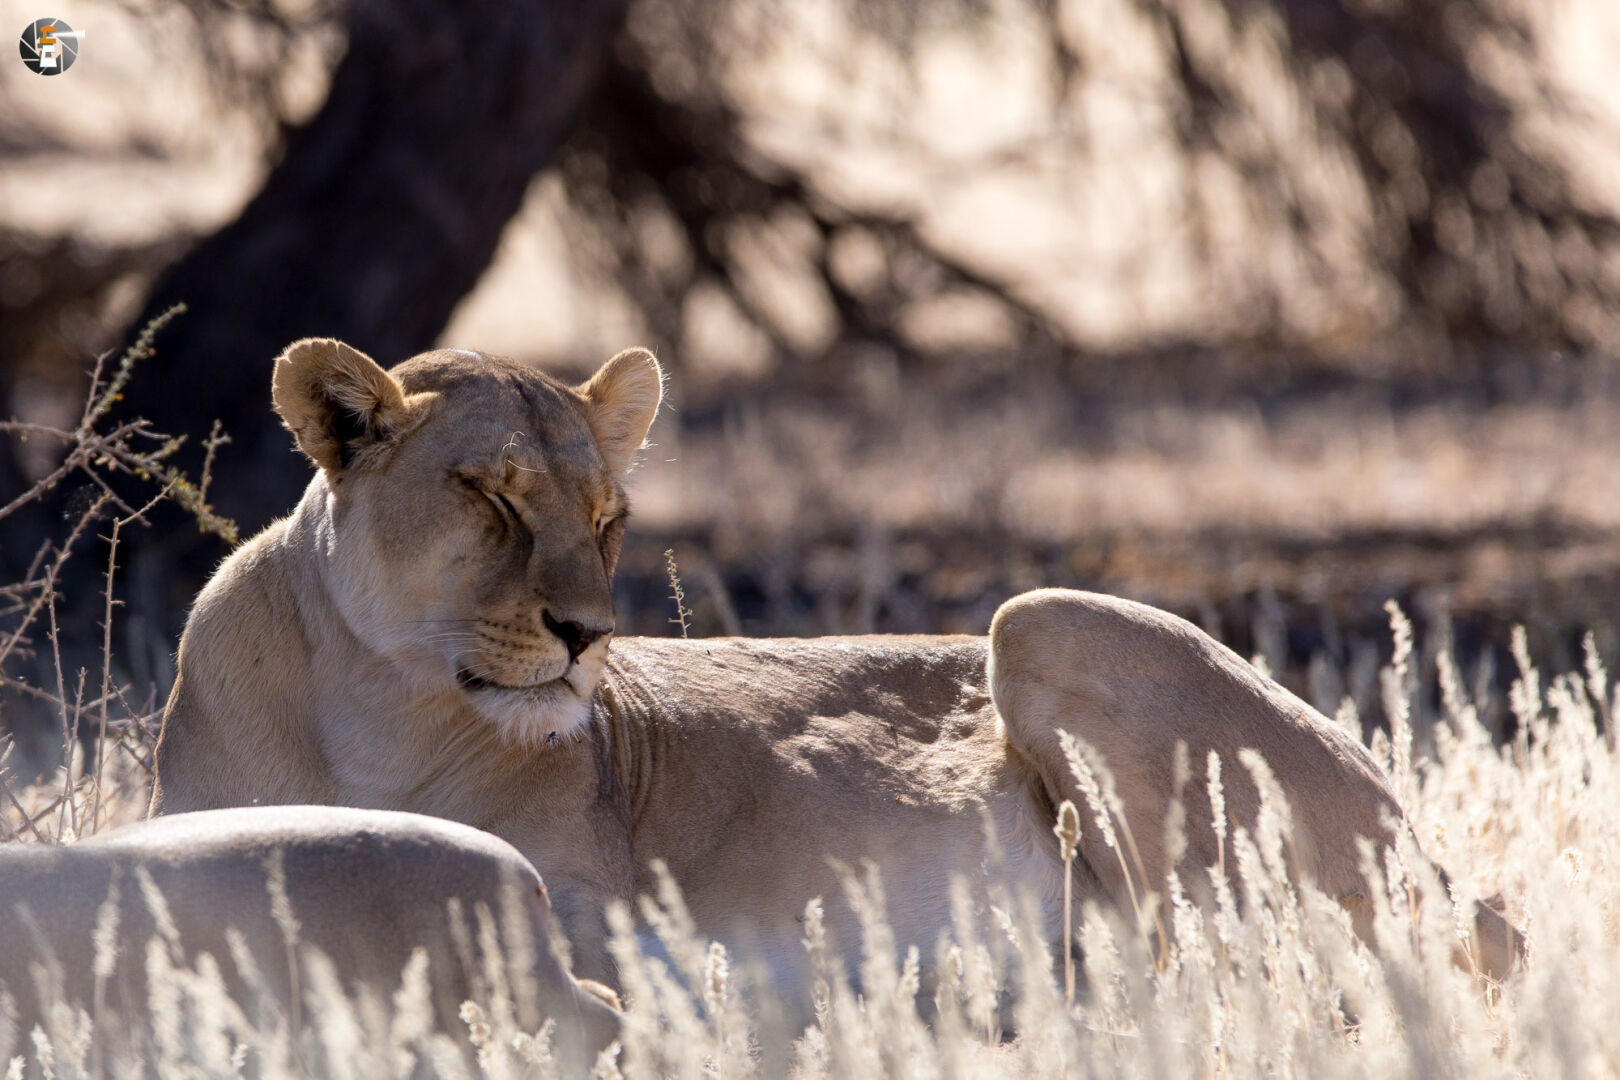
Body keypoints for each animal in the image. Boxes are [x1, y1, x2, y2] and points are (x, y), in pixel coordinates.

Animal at [150, 339, 1518, 1003]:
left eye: (607, 515)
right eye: (489, 494)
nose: (589, 635)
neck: (368, 709)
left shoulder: (600, 924)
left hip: (1047, 618)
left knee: (1249, 965)